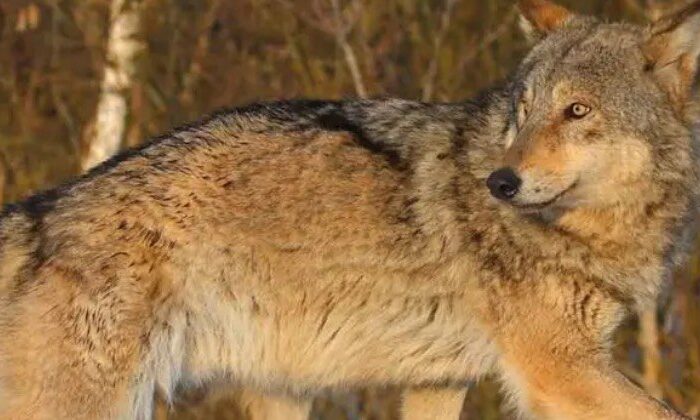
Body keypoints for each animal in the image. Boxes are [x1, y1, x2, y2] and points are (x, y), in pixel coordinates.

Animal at [0, 0, 698, 418]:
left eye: (577, 111)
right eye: (523, 113)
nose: (500, 182)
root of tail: (39, 211)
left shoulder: (440, 380)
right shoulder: (559, 369)